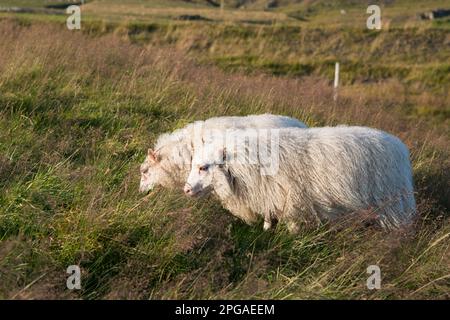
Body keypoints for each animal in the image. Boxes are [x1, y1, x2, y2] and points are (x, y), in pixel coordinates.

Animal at [185, 125, 416, 232]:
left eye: (203, 167)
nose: (186, 190)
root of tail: (399, 146)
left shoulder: (293, 202)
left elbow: (292, 226)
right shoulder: (271, 196)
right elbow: (268, 219)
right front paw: (267, 231)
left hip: (393, 204)